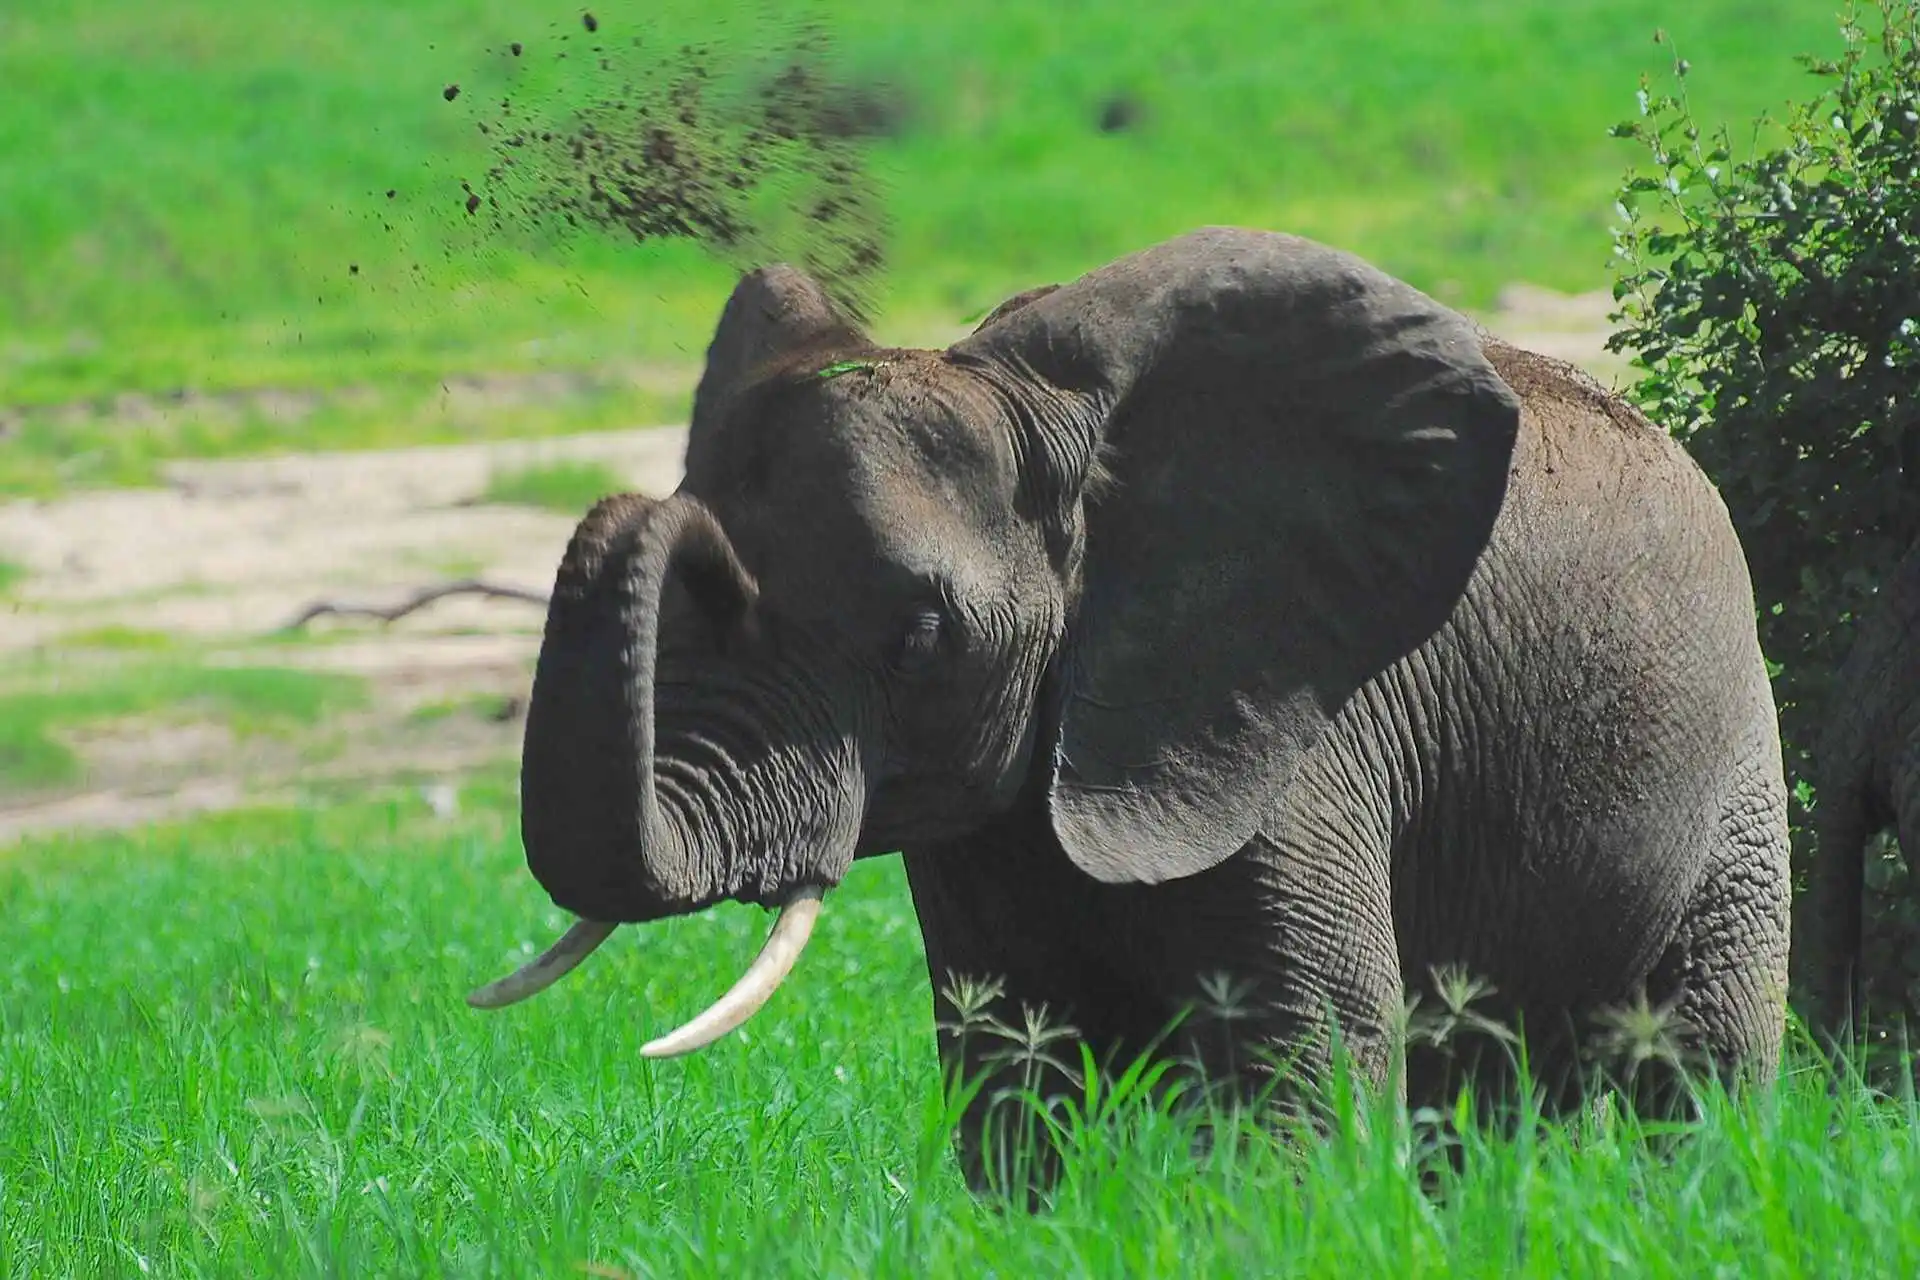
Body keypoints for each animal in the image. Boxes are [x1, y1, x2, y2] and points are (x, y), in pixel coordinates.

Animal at [472, 225, 1789, 1189]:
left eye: (920, 636)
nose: (664, 511)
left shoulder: (1277, 725)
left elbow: (1305, 1046)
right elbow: (1016, 1053)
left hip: (1737, 758)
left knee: (1695, 1057)